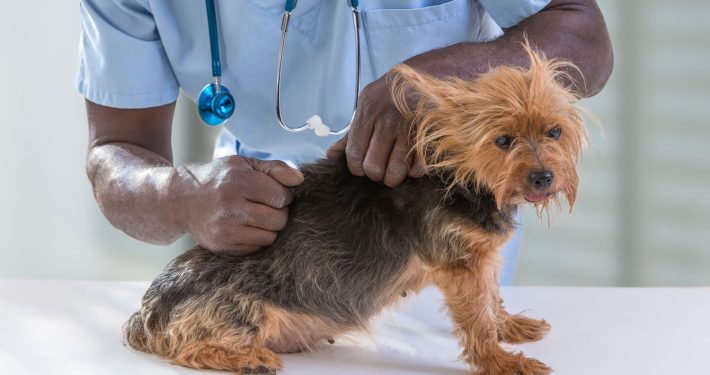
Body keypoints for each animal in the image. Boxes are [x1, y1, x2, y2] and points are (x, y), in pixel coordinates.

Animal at [124, 42, 588, 374]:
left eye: (554, 131)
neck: (464, 179)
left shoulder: (481, 259)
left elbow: (492, 298)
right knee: (186, 345)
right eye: (503, 141)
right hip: (237, 310)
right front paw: (500, 360)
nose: (543, 177)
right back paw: (246, 359)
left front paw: (509, 326)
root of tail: (147, 313)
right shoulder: (460, 265)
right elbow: (476, 317)